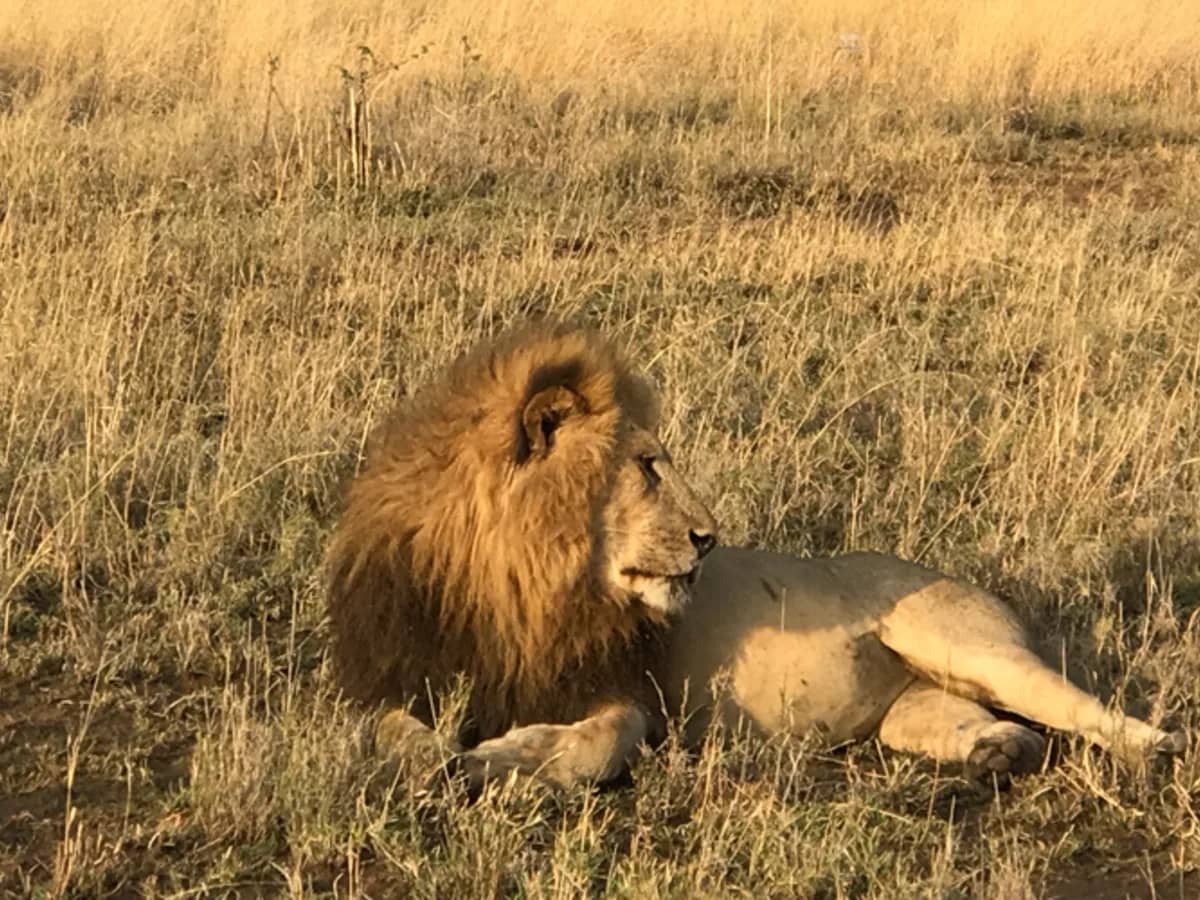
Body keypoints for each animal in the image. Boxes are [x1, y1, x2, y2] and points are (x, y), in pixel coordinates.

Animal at [327, 322, 1186, 790]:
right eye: (647, 467)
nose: (709, 537)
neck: (516, 583)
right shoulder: (391, 678)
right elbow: (385, 732)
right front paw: (431, 757)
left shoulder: (627, 690)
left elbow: (599, 742)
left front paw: (503, 756)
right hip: (915, 708)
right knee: (1005, 728)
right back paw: (993, 753)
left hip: (961, 642)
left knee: (1084, 710)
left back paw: (1153, 752)